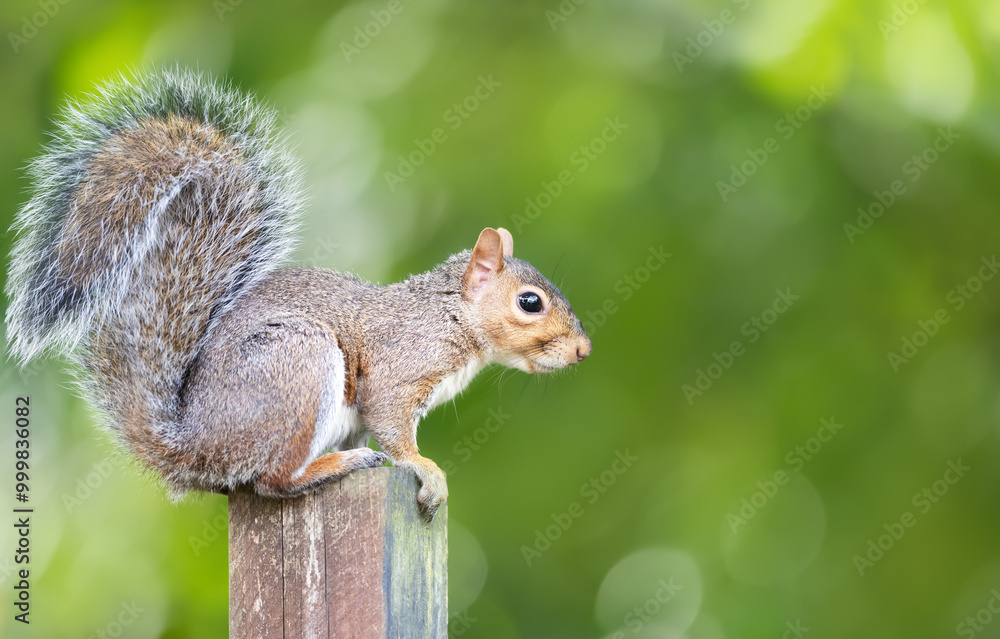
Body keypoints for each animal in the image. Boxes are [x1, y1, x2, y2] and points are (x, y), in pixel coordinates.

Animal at [5, 68, 591, 518]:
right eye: (530, 302)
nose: (584, 350)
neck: (450, 316)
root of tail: (192, 445)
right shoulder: (399, 370)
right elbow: (395, 430)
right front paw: (425, 470)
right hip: (298, 363)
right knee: (274, 478)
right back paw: (337, 465)